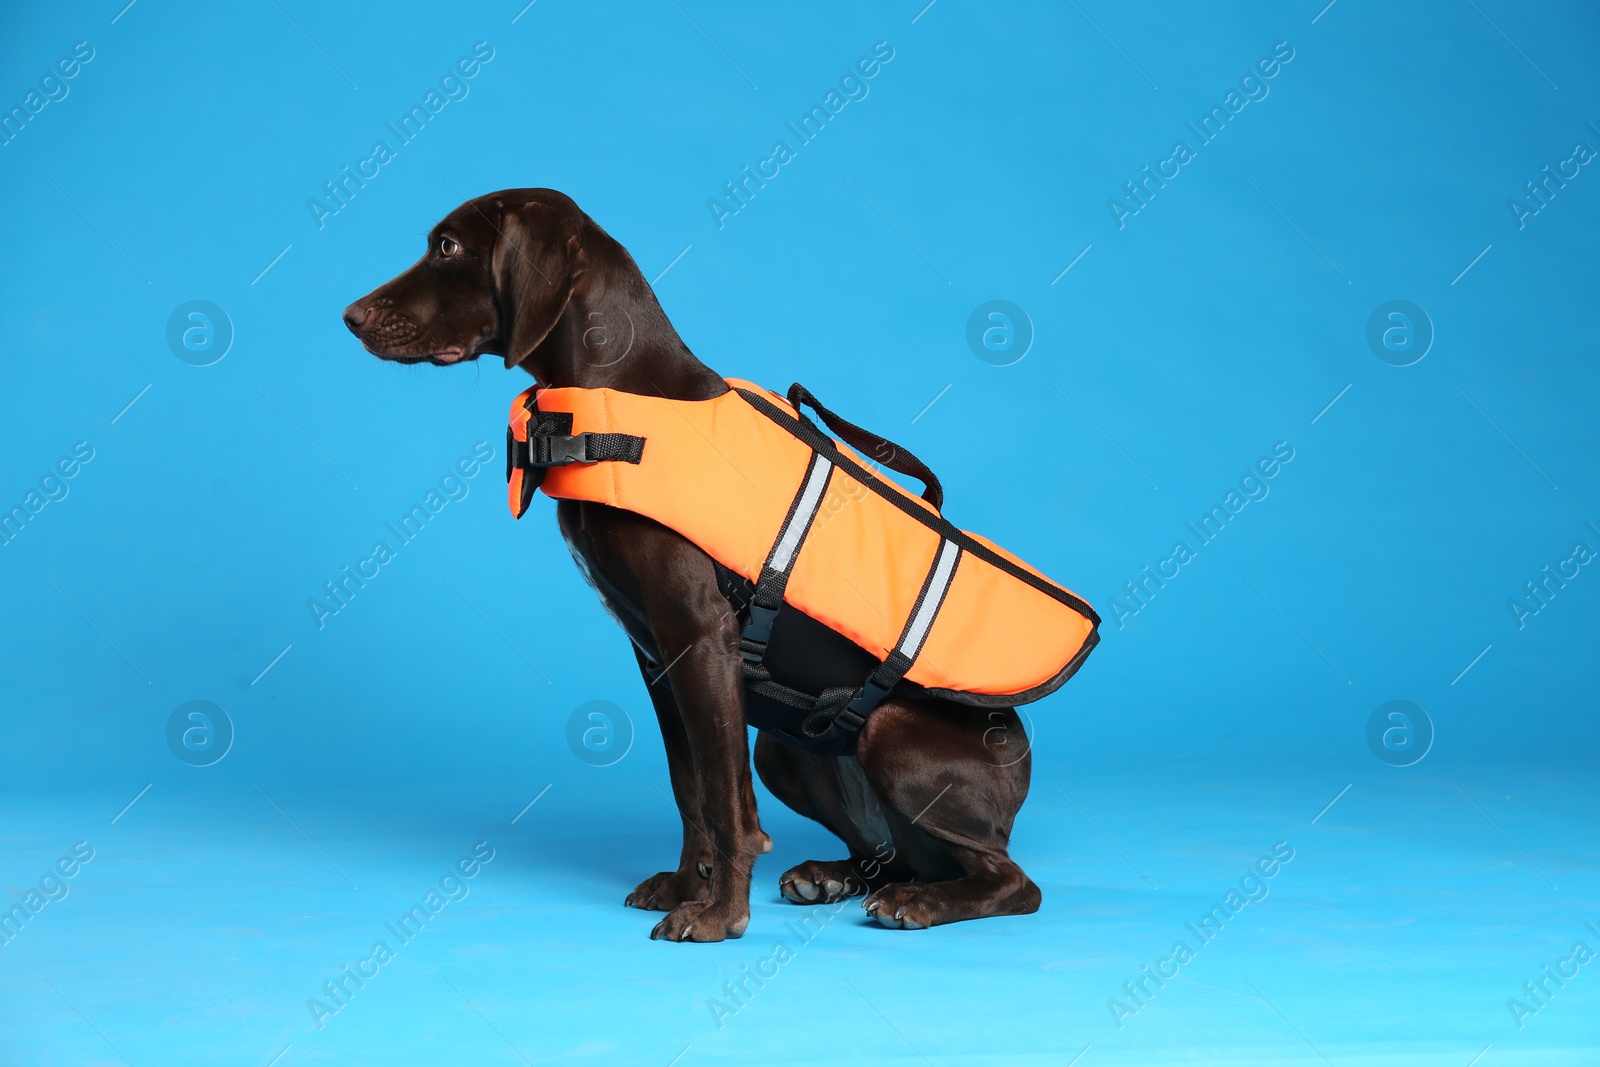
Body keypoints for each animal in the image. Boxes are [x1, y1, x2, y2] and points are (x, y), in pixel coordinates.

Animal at [345, 191, 1043, 940]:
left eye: (447, 247)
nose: (350, 315)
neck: (616, 400)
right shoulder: (660, 656)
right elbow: (694, 788)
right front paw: (688, 884)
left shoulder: (701, 636)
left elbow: (725, 799)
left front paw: (721, 915)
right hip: (784, 747)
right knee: (895, 856)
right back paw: (833, 876)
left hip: (889, 735)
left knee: (1008, 879)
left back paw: (921, 904)